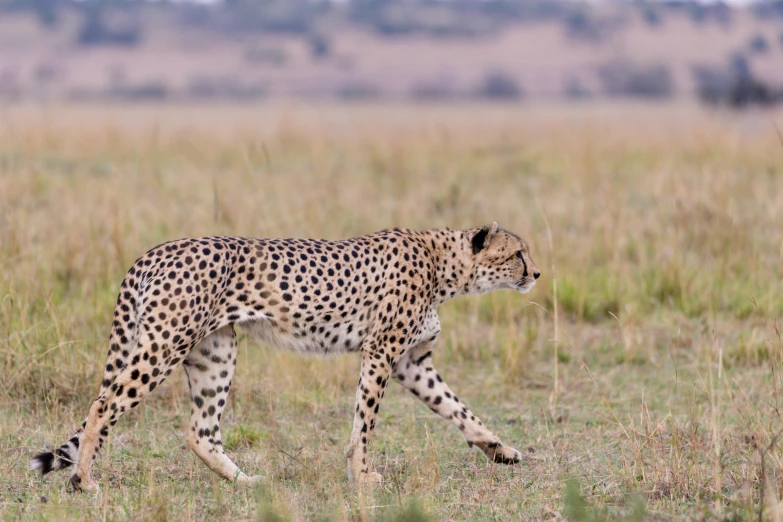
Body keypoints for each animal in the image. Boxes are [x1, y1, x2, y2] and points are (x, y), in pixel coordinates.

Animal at [29, 221, 540, 490]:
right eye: (518, 252)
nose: (536, 272)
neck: (444, 265)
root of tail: (155, 251)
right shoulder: (382, 353)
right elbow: (366, 421)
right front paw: (363, 474)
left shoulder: (413, 363)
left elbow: (459, 409)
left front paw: (502, 450)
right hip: (164, 345)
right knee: (103, 405)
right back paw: (84, 481)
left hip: (214, 353)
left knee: (199, 430)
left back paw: (245, 482)